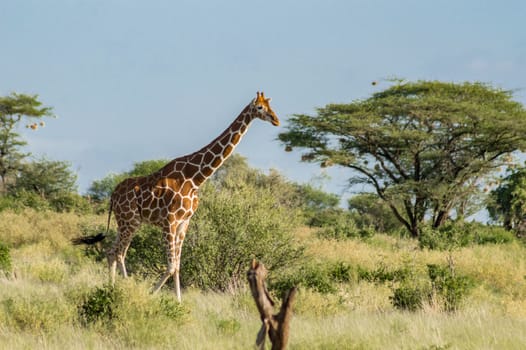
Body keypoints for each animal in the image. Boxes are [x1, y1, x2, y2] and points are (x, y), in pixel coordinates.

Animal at [75, 92, 280, 300]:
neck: (196, 178)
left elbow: (178, 266)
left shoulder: (184, 222)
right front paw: (152, 294)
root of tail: (112, 196)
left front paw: (178, 301)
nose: (276, 120)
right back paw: (125, 289)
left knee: (111, 252)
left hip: (126, 222)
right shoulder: (170, 221)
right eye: (260, 108)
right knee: (119, 253)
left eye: (271, 106)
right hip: (130, 221)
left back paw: (112, 288)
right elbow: (171, 266)